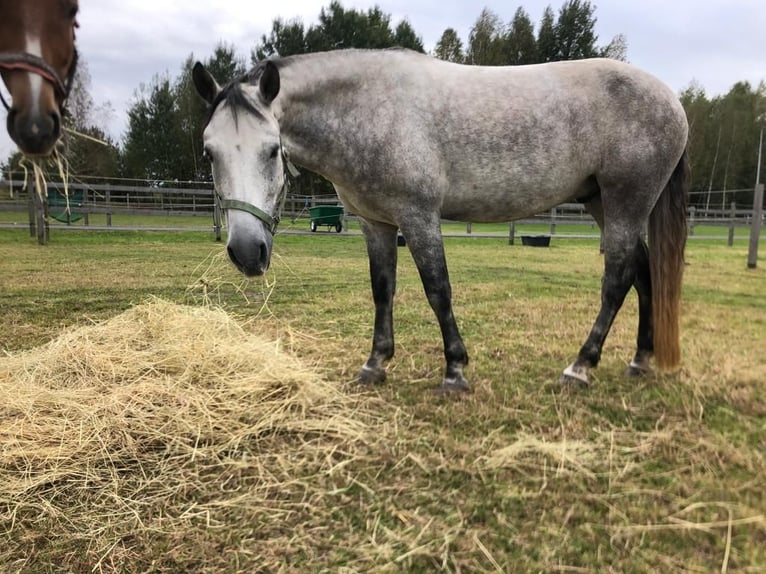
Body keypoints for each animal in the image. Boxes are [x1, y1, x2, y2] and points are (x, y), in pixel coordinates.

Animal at [194, 49, 688, 396]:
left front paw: (455, 371)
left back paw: (581, 366)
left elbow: (437, 289)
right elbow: (382, 290)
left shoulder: (419, 217)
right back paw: (640, 359)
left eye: (271, 150)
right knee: (643, 273)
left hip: (625, 203)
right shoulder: (376, 223)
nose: (247, 251)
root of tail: (672, 101)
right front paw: (375, 364)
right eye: (209, 152)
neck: (369, 110)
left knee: (617, 279)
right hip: (604, 203)